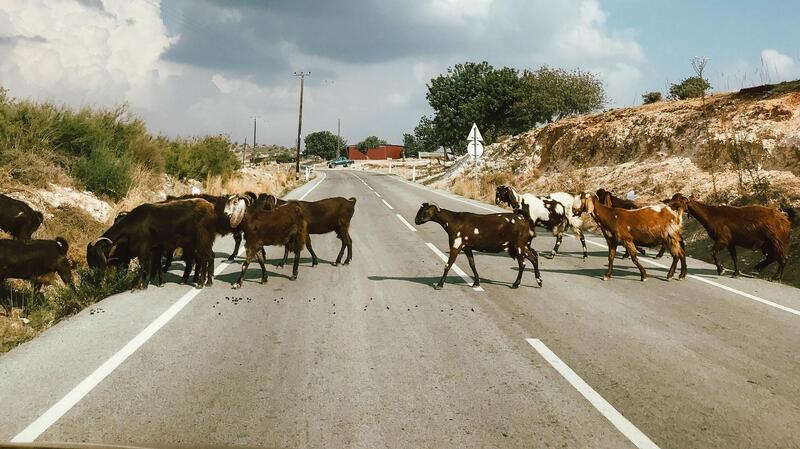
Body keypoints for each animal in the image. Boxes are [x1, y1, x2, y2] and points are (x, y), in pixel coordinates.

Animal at [412, 202, 544, 288]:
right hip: (523, 245)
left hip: (518, 246)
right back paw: (539, 281)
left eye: (426, 211)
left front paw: (439, 284)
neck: (453, 221)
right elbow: (472, 264)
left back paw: (516, 284)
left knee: (523, 263)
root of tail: (525, 221)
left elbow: (448, 265)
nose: (416, 221)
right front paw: (476, 282)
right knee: (534, 257)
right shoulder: (467, 248)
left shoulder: (456, 246)